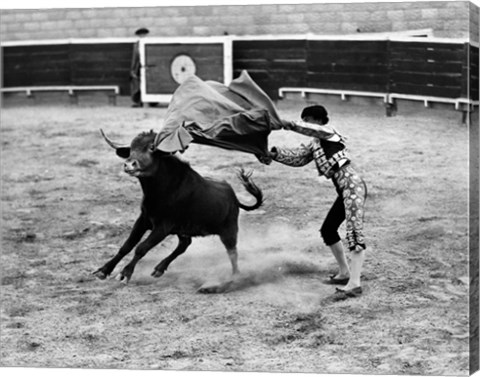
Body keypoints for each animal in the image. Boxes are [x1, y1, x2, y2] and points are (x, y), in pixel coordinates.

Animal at [93, 129, 262, 288]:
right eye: (131, 149)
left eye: (152, 147)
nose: (129, 164)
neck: (159, 190)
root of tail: (235, 198)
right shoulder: (143, 220)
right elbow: (127, 246)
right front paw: (103, 270)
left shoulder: (163, 227)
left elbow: (141, 247)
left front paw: (125, 274)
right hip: (184, 230)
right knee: (184, 245)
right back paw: (159, 268)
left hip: (229, 230)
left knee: (232, 253)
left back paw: (235, 278)